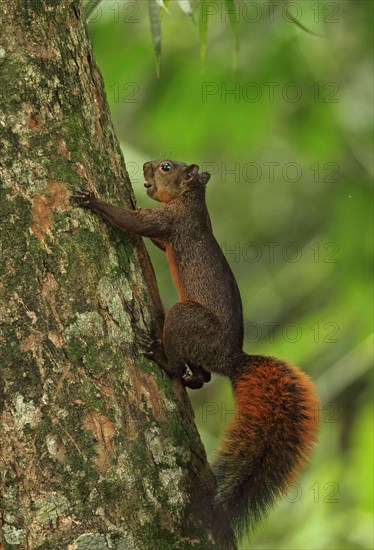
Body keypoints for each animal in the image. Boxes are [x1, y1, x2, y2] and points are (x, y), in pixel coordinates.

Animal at [73, 161, 318, 550]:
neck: (192, 202)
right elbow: (154, 238)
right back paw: (191, 377)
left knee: (181, 359)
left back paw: (162, 359)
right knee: (203, 377)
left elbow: (136, 225)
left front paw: (93, 200)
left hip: (185, 321)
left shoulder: (173, 221)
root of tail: (231, 359)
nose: (146, 166)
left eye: (166, 166)